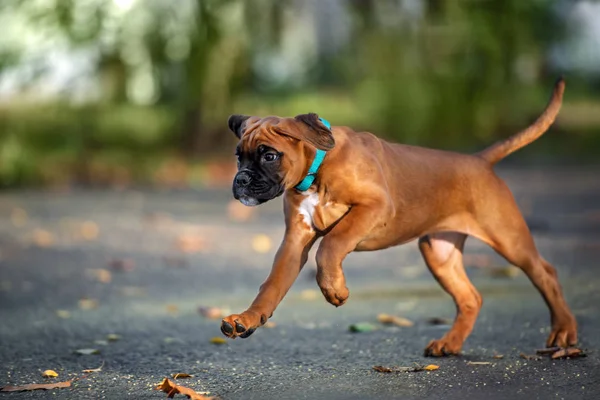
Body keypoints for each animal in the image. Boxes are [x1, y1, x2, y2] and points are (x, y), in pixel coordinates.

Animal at [219, 78, 576, 356]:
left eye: (269, 155)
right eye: (238, 158)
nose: (241, 181)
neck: (318, 166)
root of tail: (480, 161)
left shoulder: (373, 207)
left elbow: (331, 245)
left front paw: (335, 290)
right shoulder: (295, 240)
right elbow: (271, 285)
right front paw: (248, 318)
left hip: (509, 239)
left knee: (546, 273)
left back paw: (563, 332)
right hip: (439, 253)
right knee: (470, 298)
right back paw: (449, 343)